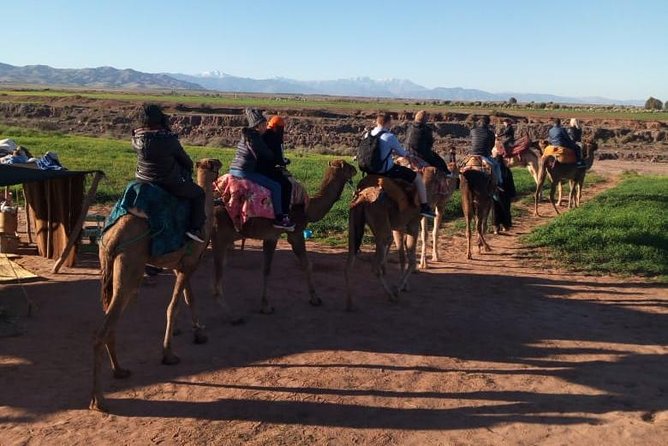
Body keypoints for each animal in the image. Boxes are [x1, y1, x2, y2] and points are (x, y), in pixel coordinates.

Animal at [90, 158, 222, 412]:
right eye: (216, 168)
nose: (221, 179)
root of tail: (113, 237)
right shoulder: (189, 264)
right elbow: (173, 306)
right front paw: (169, 354)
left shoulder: (181, 266)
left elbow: (190, 298)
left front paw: (199, 333)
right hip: (131, 265)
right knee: (103, 327)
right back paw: (99, 400)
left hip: (109, 265)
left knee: (110, 319)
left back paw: (120, 371)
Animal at [211, 159, 356, 314]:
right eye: (347, 167)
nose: (355, 169)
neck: (308, 207)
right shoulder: (296, 232)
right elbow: (307, 264)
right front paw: (315, 299)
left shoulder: (271, 236)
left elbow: (266, 269)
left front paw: (265, 305)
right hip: (220, 234)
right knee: (217, 276)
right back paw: (229, 313)